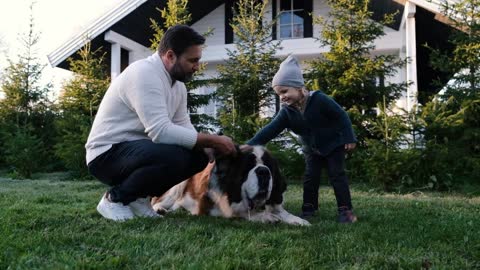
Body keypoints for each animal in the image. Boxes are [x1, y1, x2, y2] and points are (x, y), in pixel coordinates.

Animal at [152, 146, 314, 226]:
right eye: (248, 167)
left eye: (268, 166)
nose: (263, 171)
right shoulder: (215, 208)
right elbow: (241, 213)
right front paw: (267, 217)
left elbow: (283, 212)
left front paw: (298, 220)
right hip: (179, 184)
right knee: (158, 202)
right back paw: (160, 209)